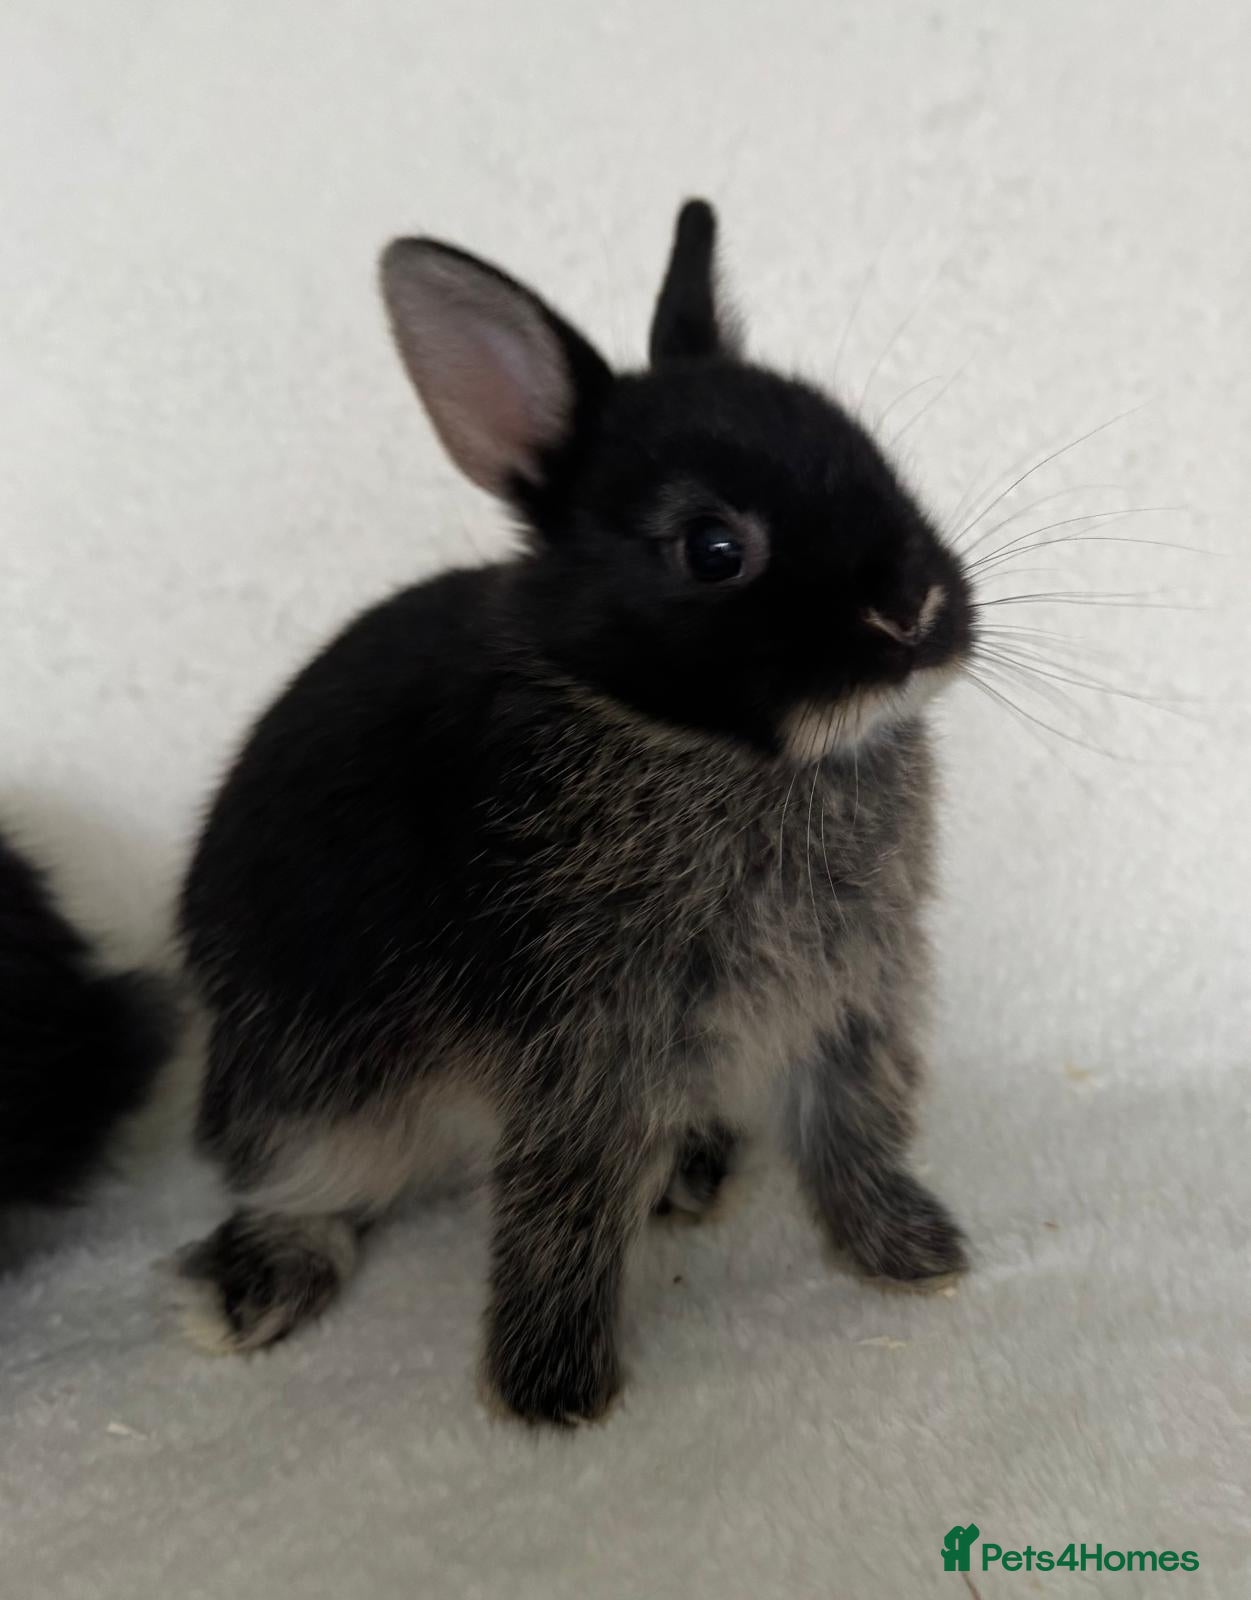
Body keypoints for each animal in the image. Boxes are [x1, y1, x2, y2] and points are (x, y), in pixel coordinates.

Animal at [176, 199, 972, 1424]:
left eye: (877, 461)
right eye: (713, 549)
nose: (915, 609)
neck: (699, 740)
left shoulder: (851, 989)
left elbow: (853, 1122)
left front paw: (911, 1254)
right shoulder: (586, 1039)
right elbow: (565, 1199)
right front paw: (552, 1394)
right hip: (313, 1087)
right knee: (299, 1184)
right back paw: (253, 1291)